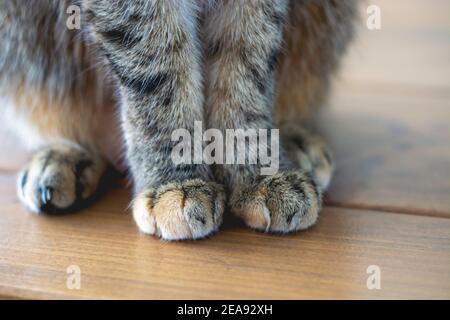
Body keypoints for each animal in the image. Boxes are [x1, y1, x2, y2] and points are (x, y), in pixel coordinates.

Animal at [0, 0, 358, 240]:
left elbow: (247, 67)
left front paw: (258, 170)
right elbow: (158, 68)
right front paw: (175, 178)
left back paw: (296, 142)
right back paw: (61, 156)